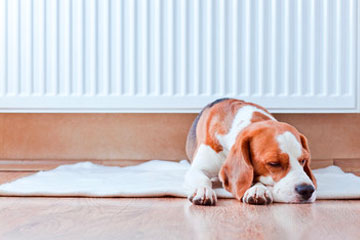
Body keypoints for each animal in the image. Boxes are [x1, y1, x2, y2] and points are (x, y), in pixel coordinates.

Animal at [184, 98, 316, 205]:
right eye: (274, 163)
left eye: (303, 160)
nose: (307, 190)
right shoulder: (198, 168)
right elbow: (203, 179)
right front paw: (203, 190)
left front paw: (258, 189)